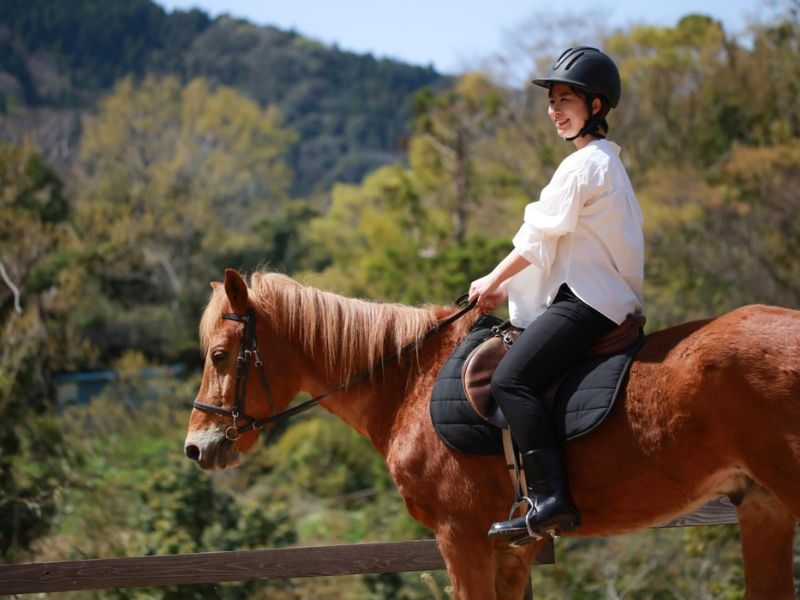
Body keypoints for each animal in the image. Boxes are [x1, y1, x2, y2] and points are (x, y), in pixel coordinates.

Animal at [184, 270, 800, 596]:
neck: (411, 380)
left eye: (220, 355)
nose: (196, 447)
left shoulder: (461, 538)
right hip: (763, 507)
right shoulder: (510, 550)